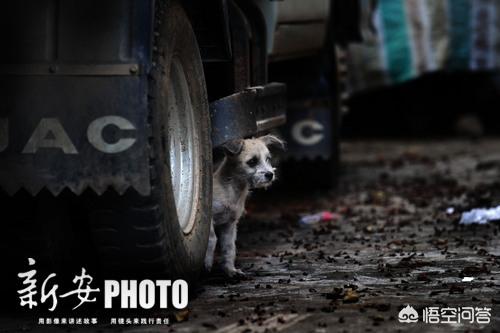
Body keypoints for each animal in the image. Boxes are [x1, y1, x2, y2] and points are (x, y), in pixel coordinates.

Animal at [204, 134, 284, 276]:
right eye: (252, 161)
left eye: (268, 159)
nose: (270, 174)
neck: (231, 189)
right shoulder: (209, 218)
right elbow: (212, 238)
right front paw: (207, 264)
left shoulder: (230, 225)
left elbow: (229, 247)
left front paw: (230, 270)